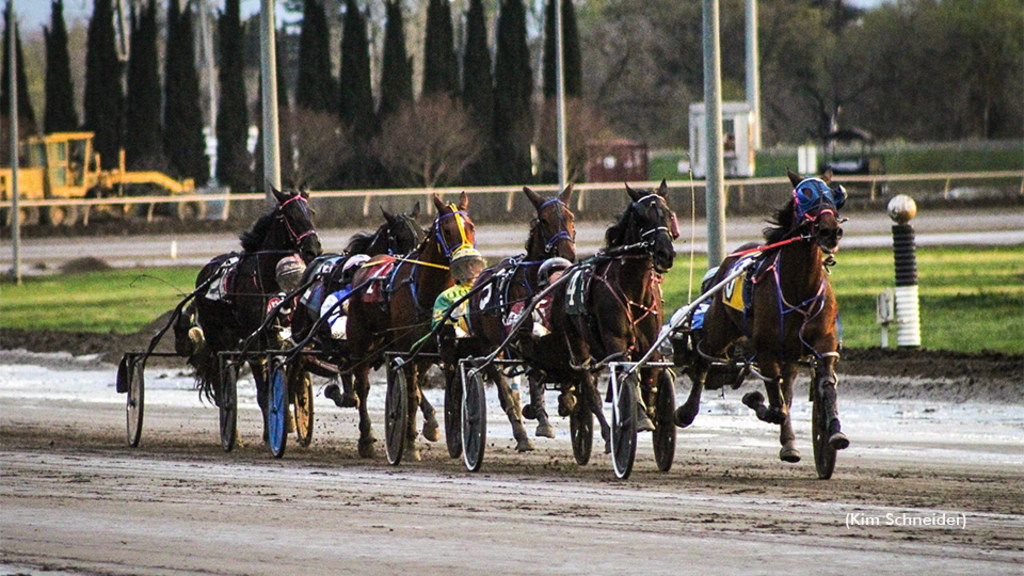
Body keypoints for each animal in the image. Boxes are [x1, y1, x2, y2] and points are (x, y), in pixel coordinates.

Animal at [183, 186, 319, 446]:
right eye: (290, 214)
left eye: (312, 212)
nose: (313, 248)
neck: (266, 279)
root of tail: (206, 271)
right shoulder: (257, 343)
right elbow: (263, 391)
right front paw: (271, 432)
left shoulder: (279, 333)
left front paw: (291, 416)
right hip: (219, 337)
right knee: (223, 382)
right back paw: (233, 435)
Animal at [342, 190, 473, 459]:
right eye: (447, 229)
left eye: (471, 227)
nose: (467, 264)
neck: (424, 292)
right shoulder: (408, 350)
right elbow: (411, 396)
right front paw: (411, 445)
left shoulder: (432, 351)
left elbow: (424, 391)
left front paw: (437, 429)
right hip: (360, 340)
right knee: (362, 385)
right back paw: (366, 438)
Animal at [462, 183, 581, 448]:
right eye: (544, 220)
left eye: (571, 217)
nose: (568, 252)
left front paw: (561, 402)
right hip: (489, 346)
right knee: (503, 388)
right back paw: (520, 432)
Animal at [520, 181, 679, 463]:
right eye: (641, 218)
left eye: (667, 214)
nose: (665, 253)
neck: (632, 288)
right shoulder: (615, 341)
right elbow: (626, 376)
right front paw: (636, 417)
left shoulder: (651, 341)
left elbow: (651, 372)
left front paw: (653, 410)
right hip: (578, 346)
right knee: (588, 387)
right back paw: (605, 434)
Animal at [671, 168, 847, 477]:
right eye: (804, 197)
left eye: (832, 196)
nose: (830, 231)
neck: (798, 287)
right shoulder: (766, 349)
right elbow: (776, 405)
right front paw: (754, 399)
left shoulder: (823, 344)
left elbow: (822, 385)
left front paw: (833, 431)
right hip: (719, 328)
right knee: (704, 359)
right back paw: (686, 411)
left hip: (790, 355)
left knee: (786, 389)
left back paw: (789, 444)